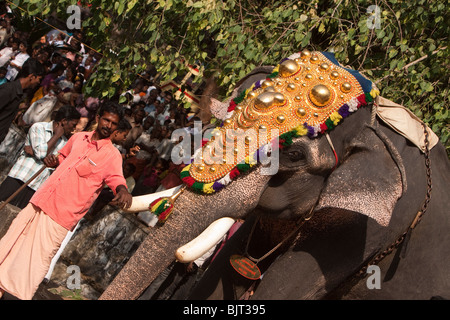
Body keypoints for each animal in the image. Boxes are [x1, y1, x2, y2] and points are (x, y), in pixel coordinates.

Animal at [99, 50, 450, 300]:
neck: (377, 121)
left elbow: (281, 289)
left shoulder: (363, 233)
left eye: (293, 155)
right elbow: (226, 273)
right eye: (224, 121)